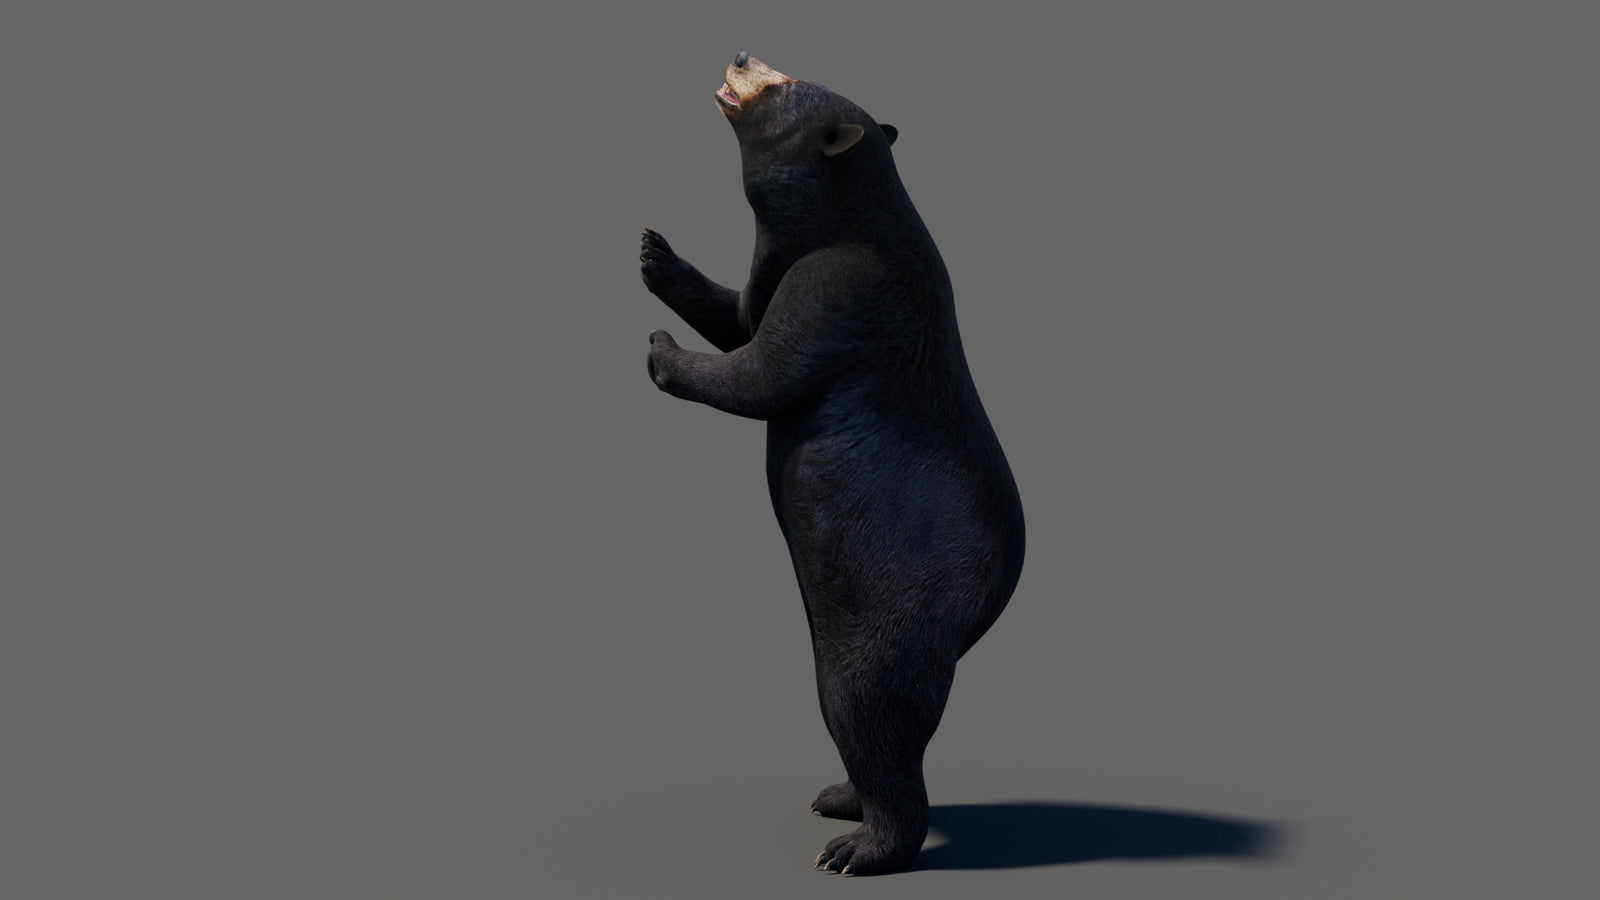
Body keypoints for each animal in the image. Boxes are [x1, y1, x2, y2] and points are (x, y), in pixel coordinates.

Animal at [640, 52, 1025, 875]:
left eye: (783, 83)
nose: (743, 54)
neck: (846, 217)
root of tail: (980, 614)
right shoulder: (786, 265)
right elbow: (742, 314)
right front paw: (654, 251)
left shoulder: (843, 283)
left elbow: (763, 371)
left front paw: (659, 349)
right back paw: (838, 796)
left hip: (890, 616)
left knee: (868, 708)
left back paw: (857, 848)